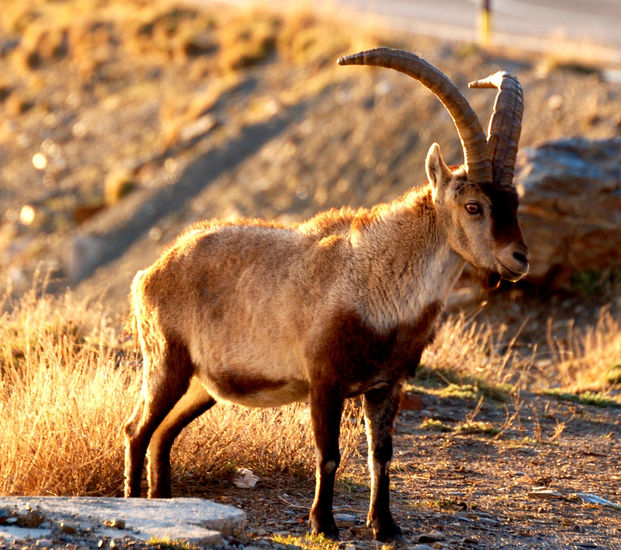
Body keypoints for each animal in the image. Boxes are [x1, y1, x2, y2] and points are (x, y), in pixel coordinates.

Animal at [124, 49, 528, 544]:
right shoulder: (324, 379)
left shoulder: (386, 384)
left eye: (514, 203)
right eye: (474, 206)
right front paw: (324, 525)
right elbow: (328, 452)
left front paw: (385, 526)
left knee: (163, 434)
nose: (519, 258)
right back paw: (132, 501)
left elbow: (381, 457)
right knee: (137, 430)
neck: (378, 282)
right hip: (167, 362)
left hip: (202, 386)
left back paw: (163, 503)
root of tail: (149, 272)